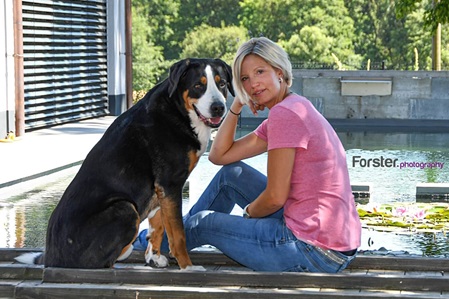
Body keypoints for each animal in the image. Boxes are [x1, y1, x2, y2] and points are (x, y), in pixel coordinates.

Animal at [15, 58, 233, 272]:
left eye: (222, 84)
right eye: (198, 86)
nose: (218, 107)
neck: (178, 111)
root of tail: (51, 257)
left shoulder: (161, 190)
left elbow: (159, 225)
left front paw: (154, 257)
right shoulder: (170, 183)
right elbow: (178, 233)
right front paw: (187, 267)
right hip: (125, 209)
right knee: (103, 262)